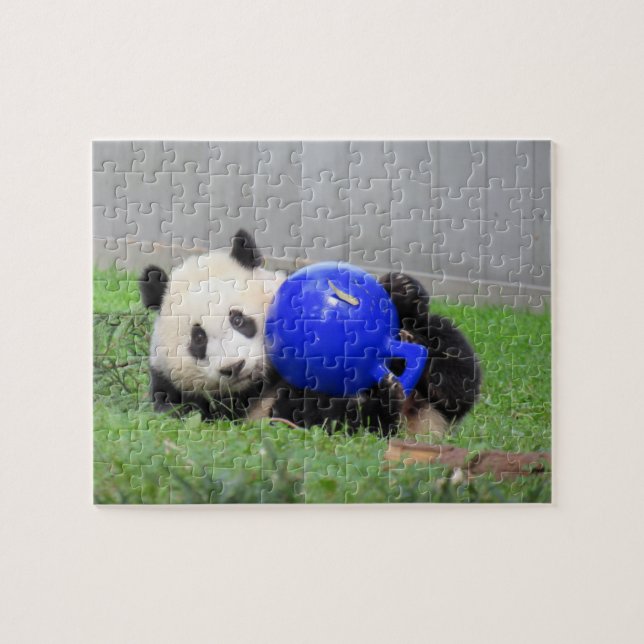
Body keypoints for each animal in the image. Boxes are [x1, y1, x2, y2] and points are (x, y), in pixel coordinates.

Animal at [140, 229, 481, 436]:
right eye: (198, 339)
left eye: (238, 319)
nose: (234, 367)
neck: (261, 381)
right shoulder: (177, 392)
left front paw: (402, 291)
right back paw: (381, 397)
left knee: (455, 369)